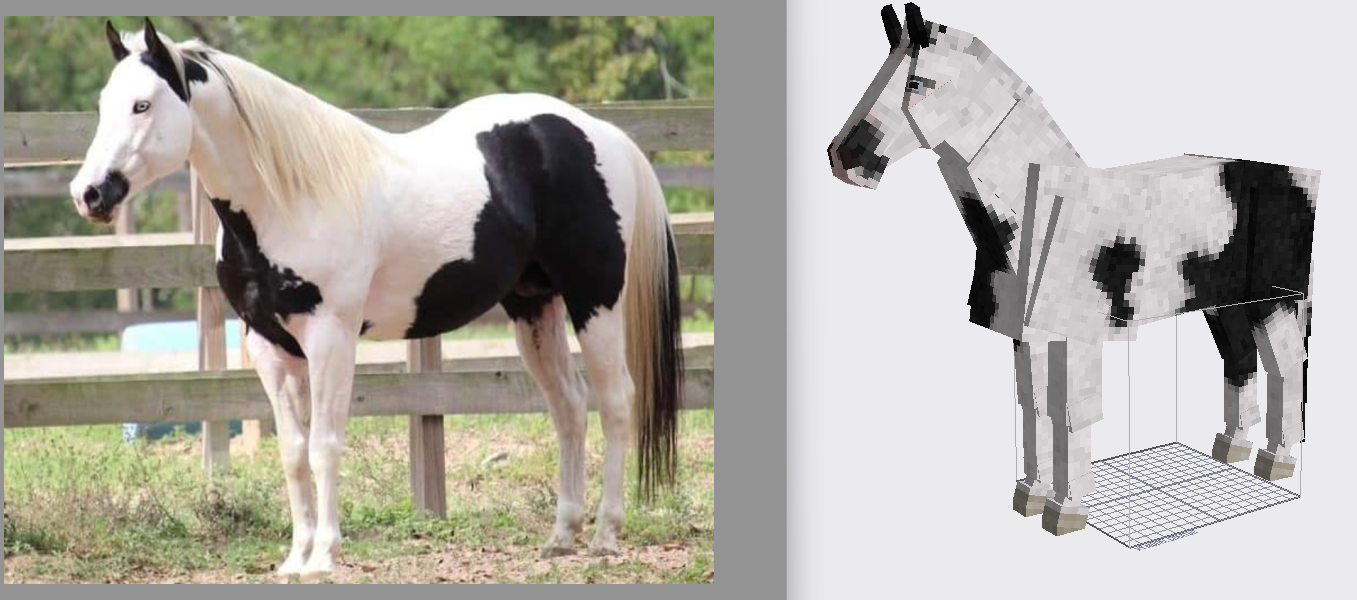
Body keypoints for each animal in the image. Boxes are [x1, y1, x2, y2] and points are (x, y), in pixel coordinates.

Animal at [71, 19, 684, 576]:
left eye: (143, 105)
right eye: (103, 104)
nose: (90, 193)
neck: (289, 197)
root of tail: (599, 133)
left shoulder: (331, 338)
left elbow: (324, 446)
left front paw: (323, 557)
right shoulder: (269, 347)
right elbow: (292, 453)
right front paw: (294, 559)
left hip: (595, 301)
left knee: (616, 401)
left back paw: (605, 535)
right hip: (534, 307)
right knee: (570, 407)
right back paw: (561, 535)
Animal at [827, 3, 1316, 536]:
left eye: (920, 83)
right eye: (879, 75)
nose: (846, 159)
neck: (1037, 212)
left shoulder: (1077, 339)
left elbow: (1069, 414)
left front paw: (1068, 509)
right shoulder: (1030, 337)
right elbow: (1034, 407)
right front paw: (1032, 496)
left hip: (1274, 301)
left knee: (1285, 364)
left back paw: (1278, 461)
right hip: (1223, 304)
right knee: (1240, 359)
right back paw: (1232, 449)